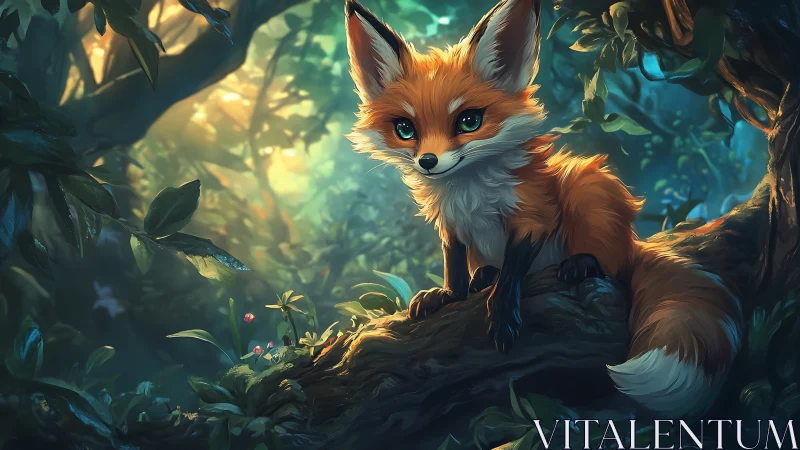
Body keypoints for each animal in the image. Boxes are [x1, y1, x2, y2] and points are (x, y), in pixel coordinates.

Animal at [343, 0, 743, 418]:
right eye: (405, 129)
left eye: (469, 121)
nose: (428, 162)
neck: (468, 194)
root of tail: (636, 243)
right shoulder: (451, 225)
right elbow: (454, 265)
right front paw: (449, 295)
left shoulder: (533, 212)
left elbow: (513, 270)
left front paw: (503, 314)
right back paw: (483, 276)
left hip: (587, 190)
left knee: (613, 266)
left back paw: (582, 264)